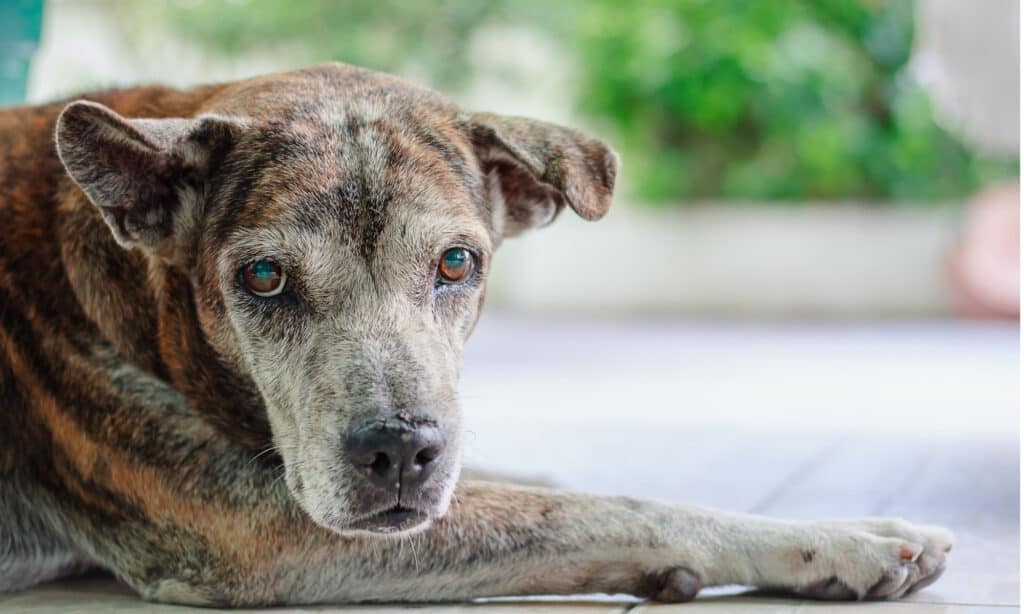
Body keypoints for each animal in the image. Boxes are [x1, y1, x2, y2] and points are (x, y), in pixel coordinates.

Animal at [0, 62, 950, 605]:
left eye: (457, 262)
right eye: (263, 277)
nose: (398, 452)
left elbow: (544, 486)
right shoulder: (258, 533)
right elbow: (596, 511)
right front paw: (844, 540)